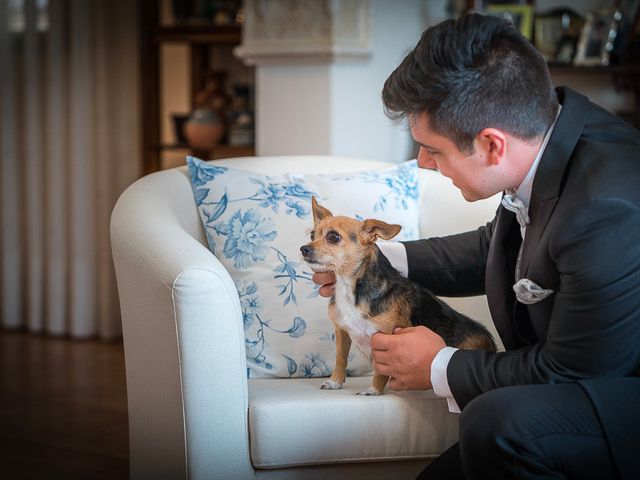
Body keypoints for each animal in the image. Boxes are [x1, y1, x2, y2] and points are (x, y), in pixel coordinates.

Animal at [300, 197, 496, 396]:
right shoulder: (341, 331)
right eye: (312, 236)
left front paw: (373, 390)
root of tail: (491, 344)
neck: (349, 288)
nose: (303, 249)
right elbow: (341, 358)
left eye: (333, 237)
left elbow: (380, 371)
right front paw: (335, 382)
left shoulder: (384, 338)